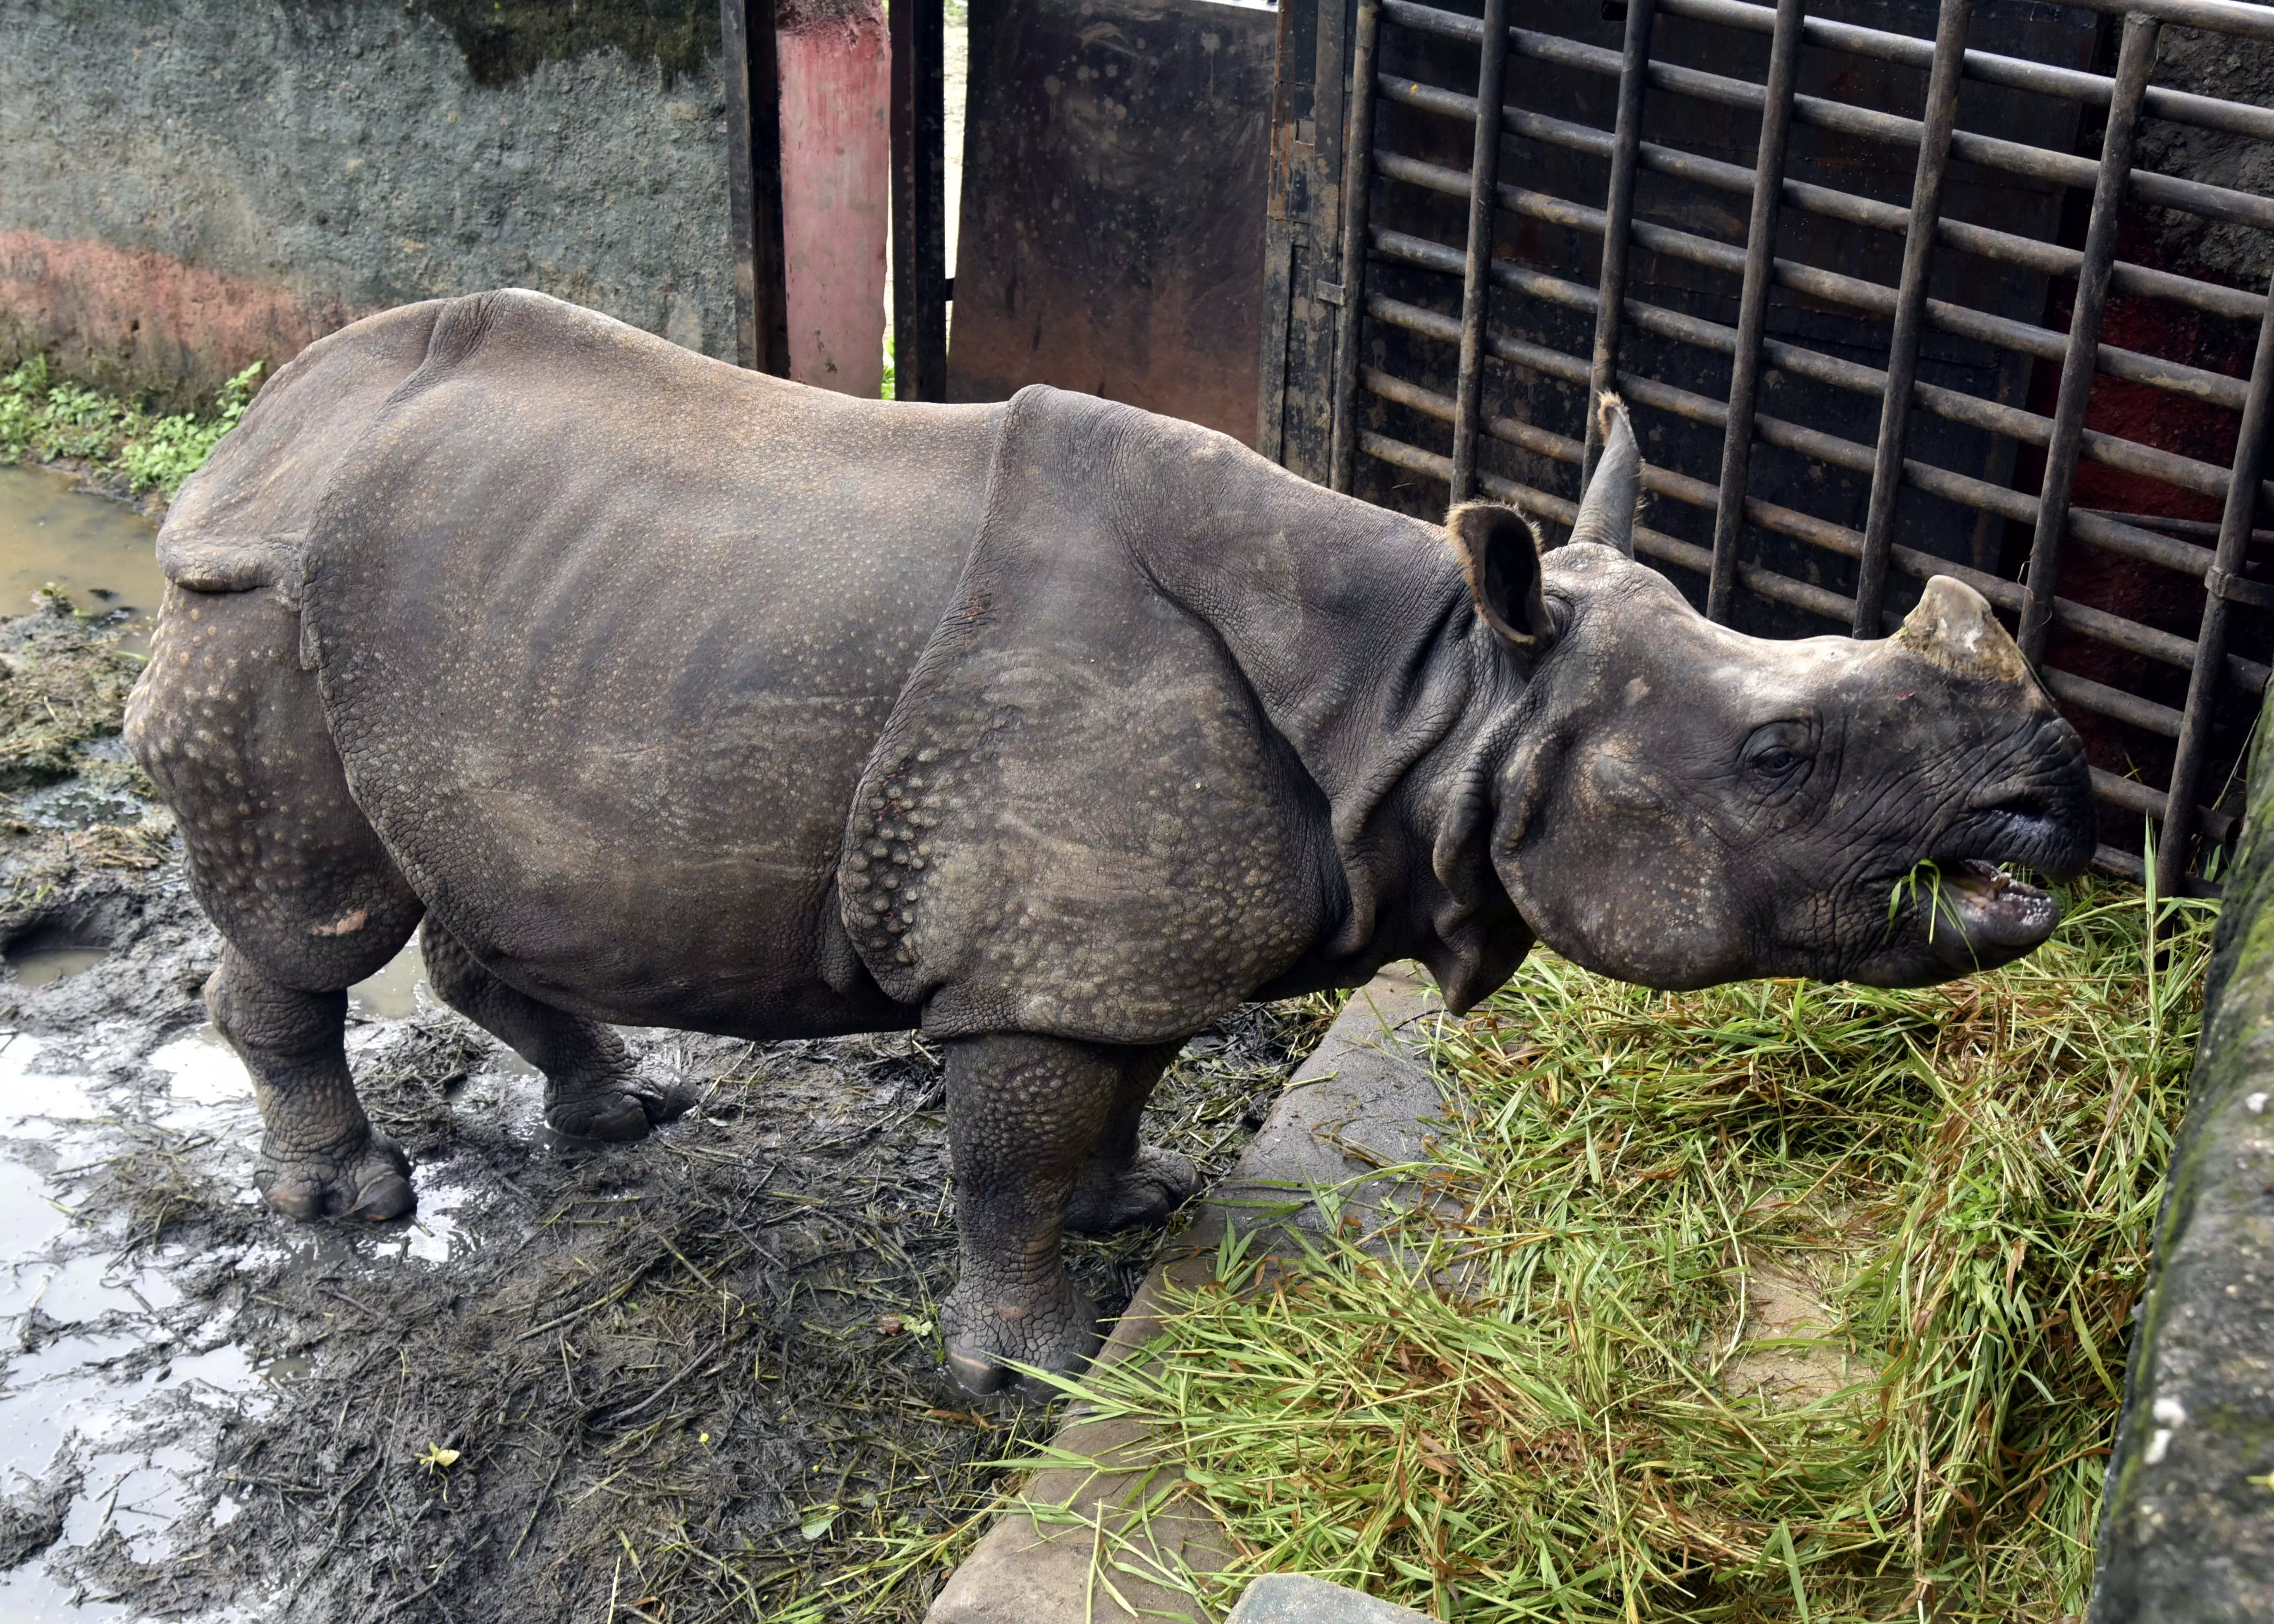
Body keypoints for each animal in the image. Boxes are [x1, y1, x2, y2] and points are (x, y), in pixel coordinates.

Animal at [127, 290, 2094, 1393]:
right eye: (1776, 756)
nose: (2053, 793)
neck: (1439, 694)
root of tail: (261, 420)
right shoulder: (1040, 961)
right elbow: (1005, 1156)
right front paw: (1039, 1370)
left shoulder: (1119, 935)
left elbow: (1123, 1085)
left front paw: (1135, 1207)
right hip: (260, 600)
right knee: (318, 918)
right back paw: (351, 1204)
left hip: (492, 611)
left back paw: (621, 1109)